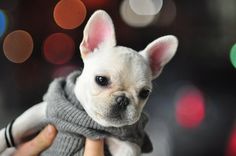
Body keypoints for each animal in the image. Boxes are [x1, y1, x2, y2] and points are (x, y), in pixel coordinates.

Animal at [0, 10, 177, 155]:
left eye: (145, 93)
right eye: (101, 80)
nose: (122, 100)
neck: (92, 122)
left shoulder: (126, 143)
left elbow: (127, 149)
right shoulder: (44, 111)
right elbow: (16, 127)